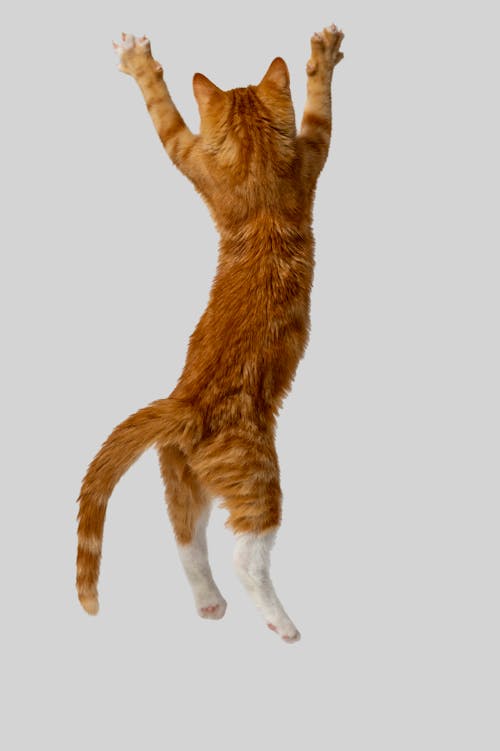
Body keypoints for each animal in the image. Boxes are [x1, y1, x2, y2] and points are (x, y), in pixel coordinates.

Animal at [77, 26, 344, 644]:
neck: (257, 159)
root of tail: (184, 403)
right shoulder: (306, 152)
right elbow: (318, 108)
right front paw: (322, 59)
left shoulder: (205, 157)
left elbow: (168, 120)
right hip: (256, 476)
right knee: (247, 556)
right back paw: (281, 623)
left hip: (180, 476)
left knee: (187, 542)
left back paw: (208, 604)